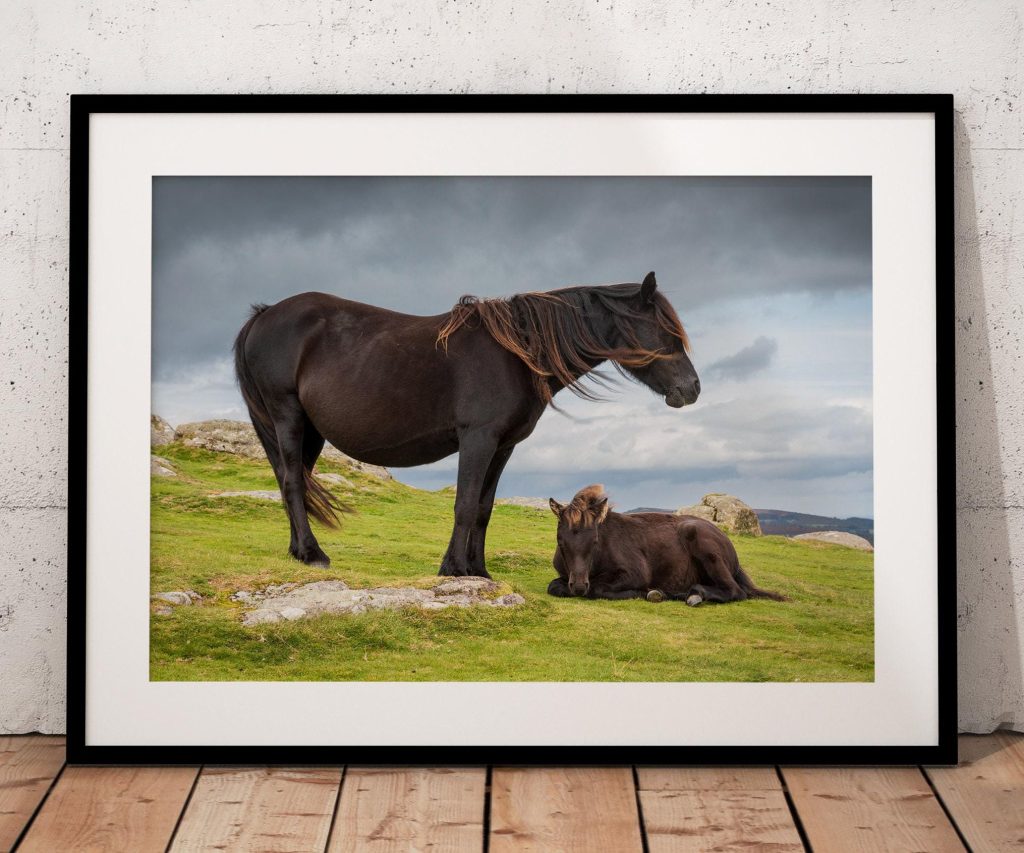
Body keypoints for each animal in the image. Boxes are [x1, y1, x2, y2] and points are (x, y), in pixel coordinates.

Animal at [233, 272, 700, 577]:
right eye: (663, 330)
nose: (692, 389)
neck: (517, 353)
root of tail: (263, 315)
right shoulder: (477, 439)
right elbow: (464, 503)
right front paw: (454, 568)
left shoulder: (503, 445)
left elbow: (483, 509)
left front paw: (478, 570)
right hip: (288, 417)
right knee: (293, 484)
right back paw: (313, 553)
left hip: (310, 432)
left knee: (291, 482)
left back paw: (298, 551)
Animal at [547, 485, 785, 605]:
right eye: (560, 541)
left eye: (595, 540)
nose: (579, 586)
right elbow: (554, 586)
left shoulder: (634, 573)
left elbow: (598, 588)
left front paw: (648, 593)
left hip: (701, 541)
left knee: (735, 591)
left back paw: (691, 594)